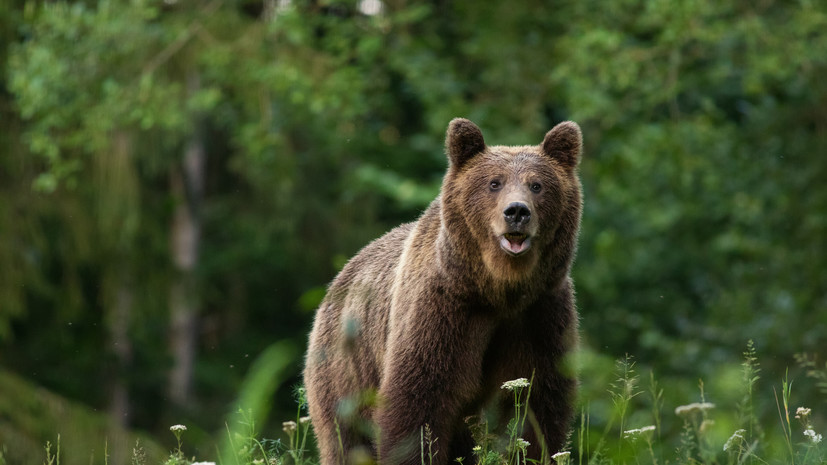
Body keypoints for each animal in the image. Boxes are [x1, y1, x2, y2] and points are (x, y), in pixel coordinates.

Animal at [304, 118, 584, 464]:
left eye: (537, 185)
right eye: (494, 183)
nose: (517, 212)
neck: (499, 289)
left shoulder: (540, 314)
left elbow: (538, 406)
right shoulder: (444, 310)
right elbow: (418, 401)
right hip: (345, 368)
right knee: (345, 438)